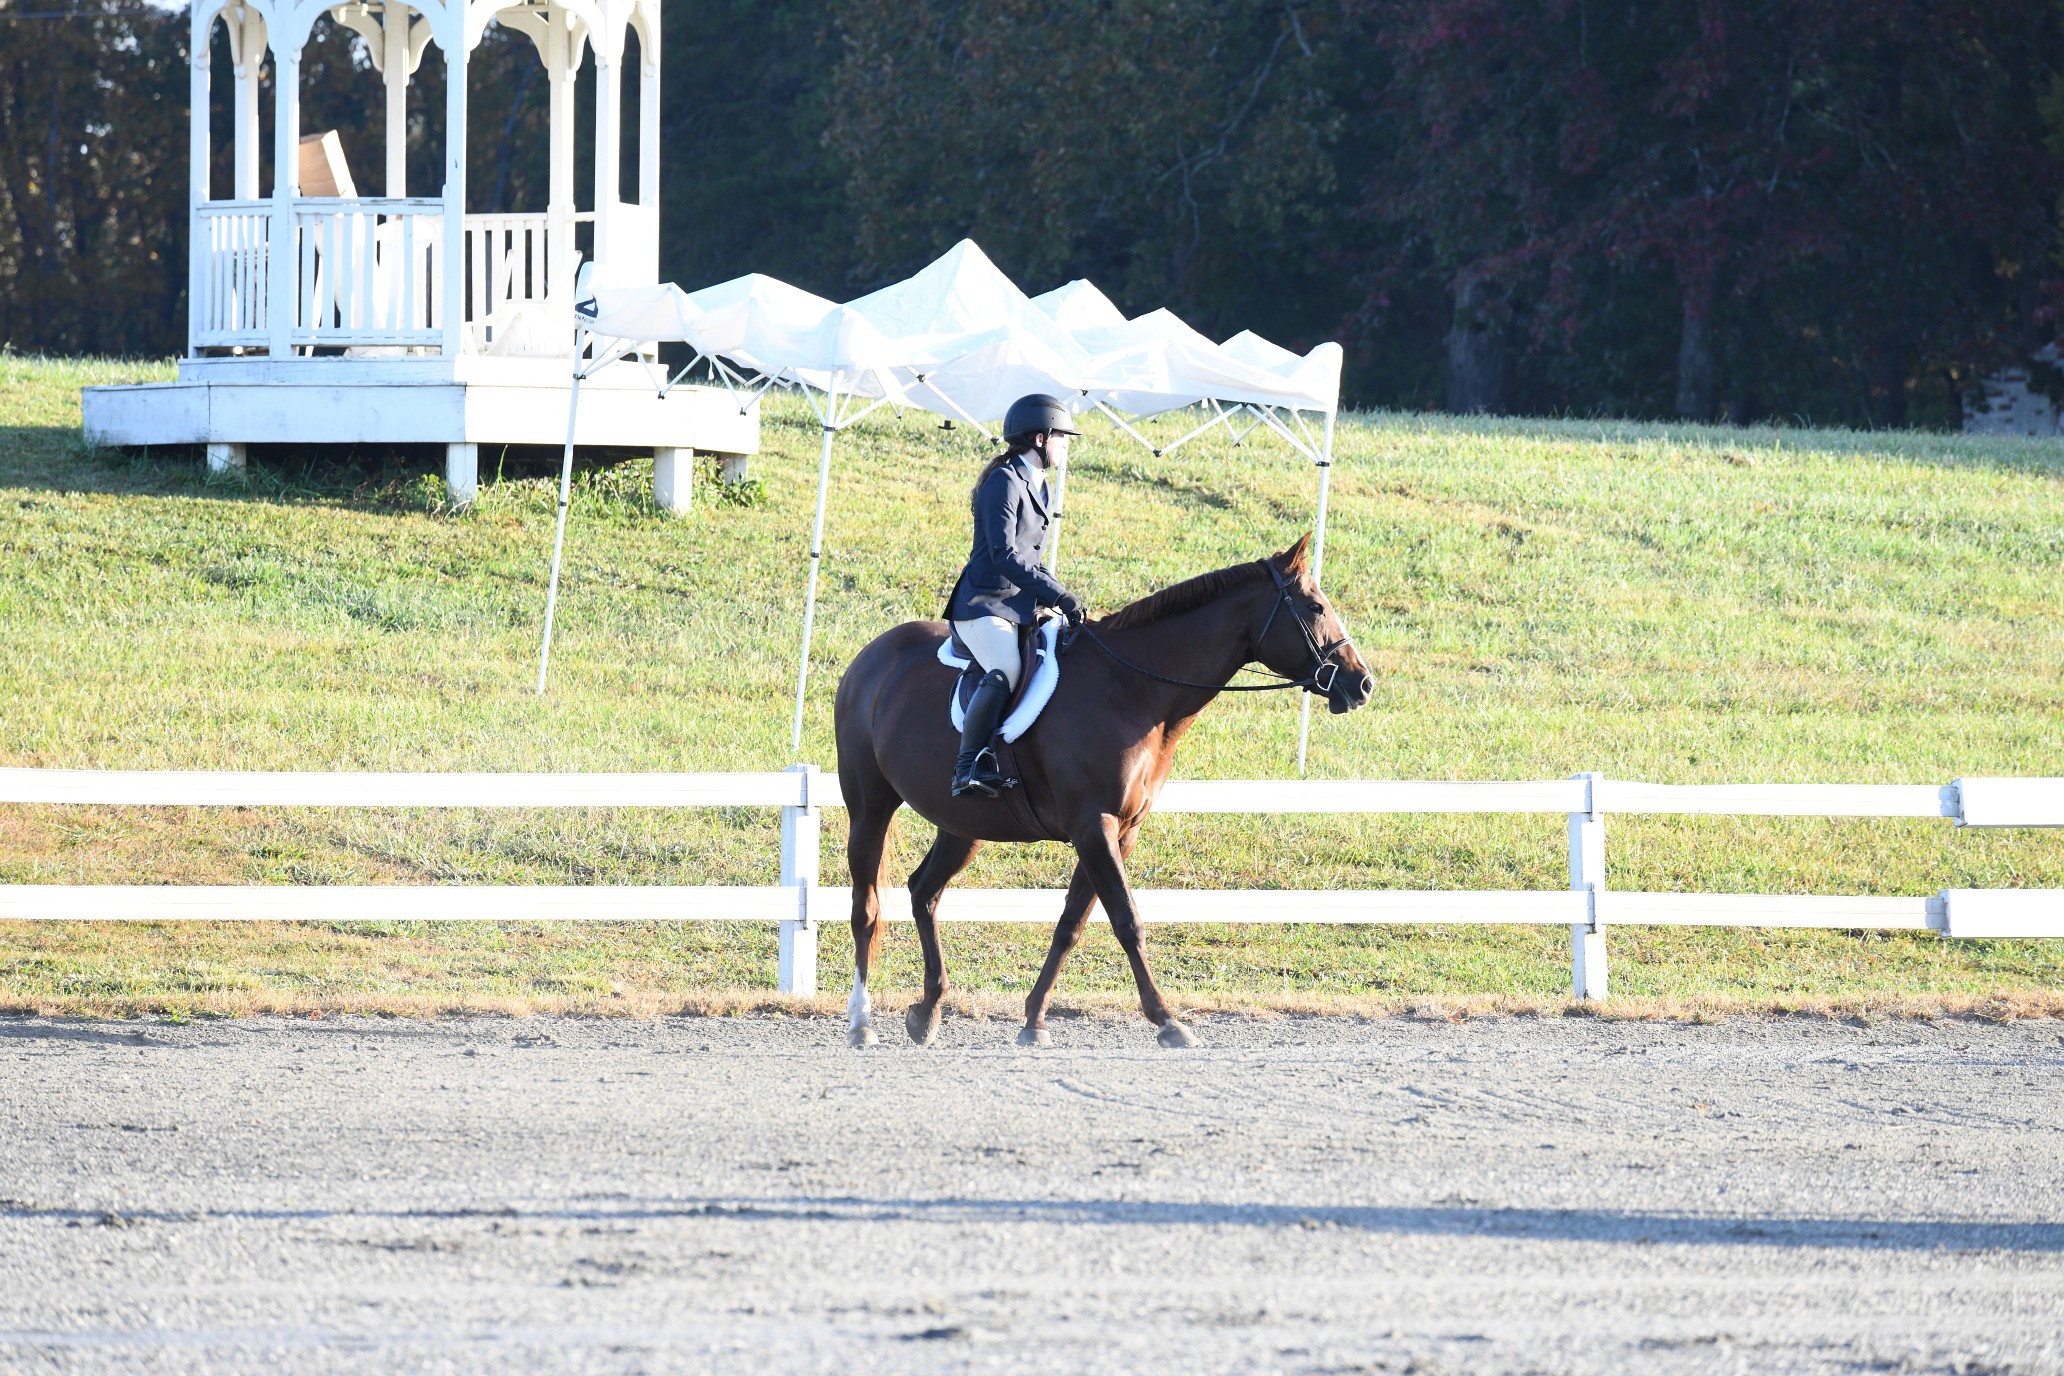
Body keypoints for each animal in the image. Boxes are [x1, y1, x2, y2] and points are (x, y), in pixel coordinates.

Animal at [831, 533, 1375, 1050]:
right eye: (1315, 607)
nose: (1362, 683)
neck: (1131, 688)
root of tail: (870, 657)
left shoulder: (1121, 830)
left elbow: (1072, 923)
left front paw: (1034, 1021)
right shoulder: (1094, 825)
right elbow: (1126, 919)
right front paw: (1168, 1022)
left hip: (964, 825)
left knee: (924, 892)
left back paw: (927, 1012)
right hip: (870, 808)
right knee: (866, 909)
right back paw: (860, 1022)